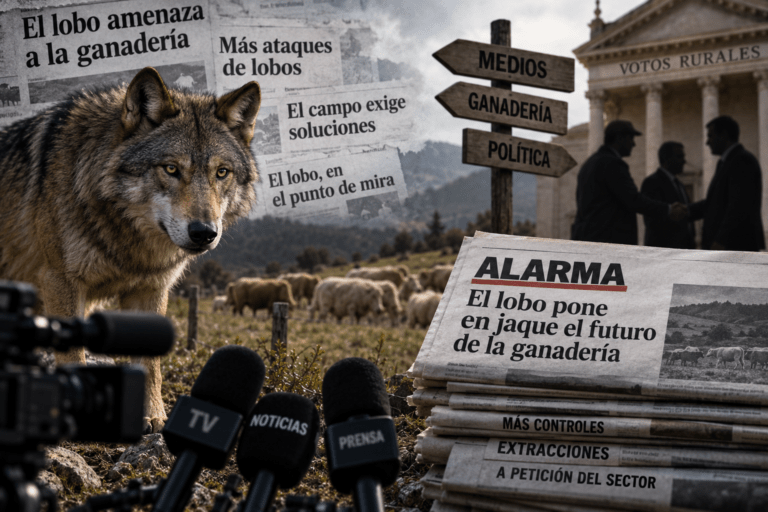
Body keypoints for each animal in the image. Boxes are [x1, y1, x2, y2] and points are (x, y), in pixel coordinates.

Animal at [0, 67, 261, 432]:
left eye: (221, 172)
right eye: (171, 169)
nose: (204, 233)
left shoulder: (151, 289)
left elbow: (150, 364)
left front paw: (151, 416)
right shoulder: (59, 282)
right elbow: (73, 355)